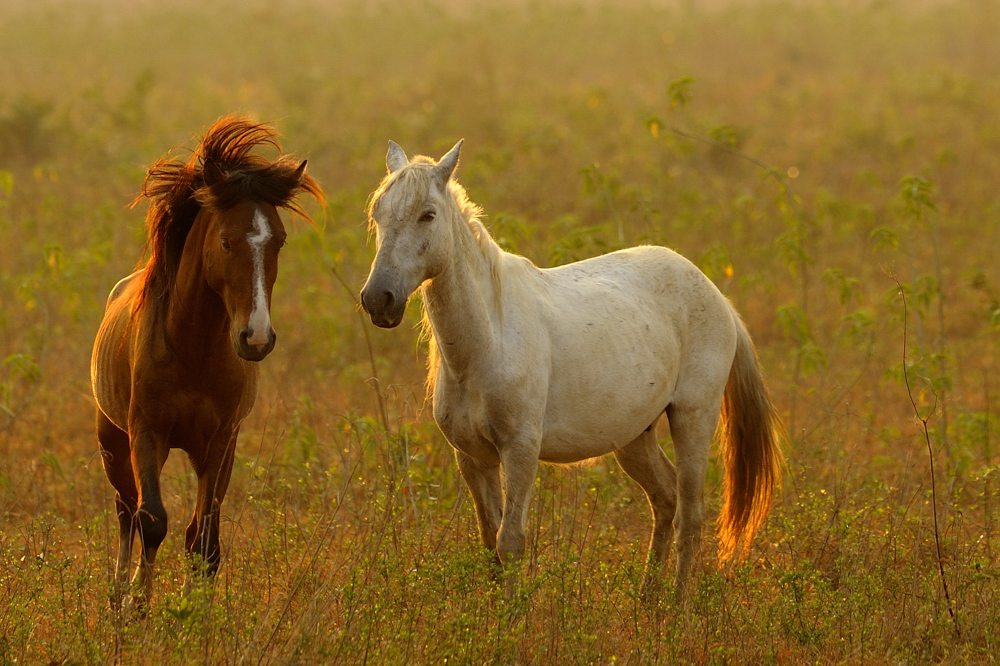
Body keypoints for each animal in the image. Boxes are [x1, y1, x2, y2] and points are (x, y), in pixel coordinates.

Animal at [91, 115, 320, 608]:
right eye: (226, 242)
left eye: (279, 241)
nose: (256, 337)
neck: (193, 352)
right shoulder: (146, 433)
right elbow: (152, 520)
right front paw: (138, 603)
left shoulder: (220, 442)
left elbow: (203, 538)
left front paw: (194, 610)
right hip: (113, 442)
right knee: (125, 512)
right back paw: (117, 596)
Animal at [360, 139, 780, 592]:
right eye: (378, 212)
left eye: (428, 214)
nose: (378, 299)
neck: (488, 343)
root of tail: (717, 296)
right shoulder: (472, 458)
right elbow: (490, 543)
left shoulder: (520, 450)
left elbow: (510, 541)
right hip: (635, 436)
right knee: (665, 500)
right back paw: (648, 599)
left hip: (693, 418)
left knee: (691, 517)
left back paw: (676, 604)